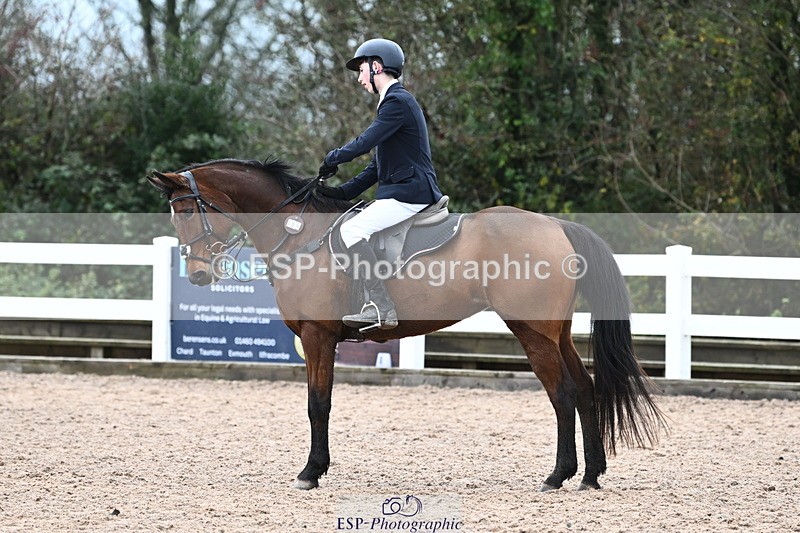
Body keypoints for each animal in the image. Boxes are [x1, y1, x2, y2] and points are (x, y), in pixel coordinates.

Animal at [147, 158, 666, 491]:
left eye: (187, 210)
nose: (198, 275)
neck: (298, 235)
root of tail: (556, 225)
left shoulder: (318, 338)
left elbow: (318, 405)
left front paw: (311, 472)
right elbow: (320, 405)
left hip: (531, 331)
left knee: (562, 394)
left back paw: (558, 476)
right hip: (554, 332)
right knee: (585, 389)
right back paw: (591, 476)